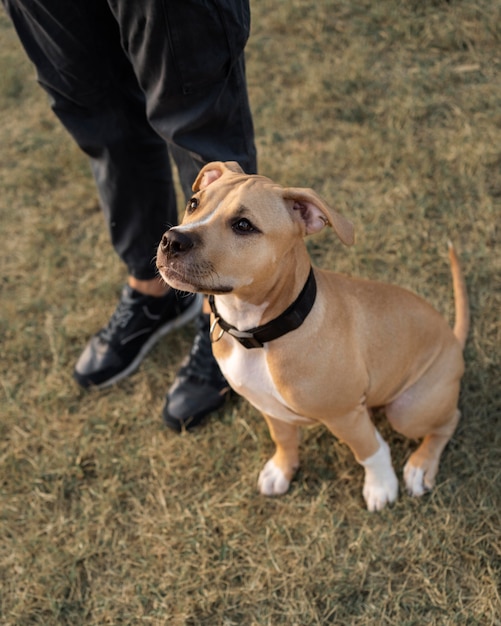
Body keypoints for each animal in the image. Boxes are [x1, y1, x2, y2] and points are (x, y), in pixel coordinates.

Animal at [156, 161, 468, 508]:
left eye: (243, 225)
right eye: (193, 203)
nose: (172, 240)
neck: (260, 333)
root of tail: (453, 339)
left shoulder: (344, 414)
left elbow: (370, 450)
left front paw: (381, 486)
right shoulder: (270, 407)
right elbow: (283, 439)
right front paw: (282, 470)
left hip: (408, 409)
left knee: (449, 420)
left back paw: (421, 466)